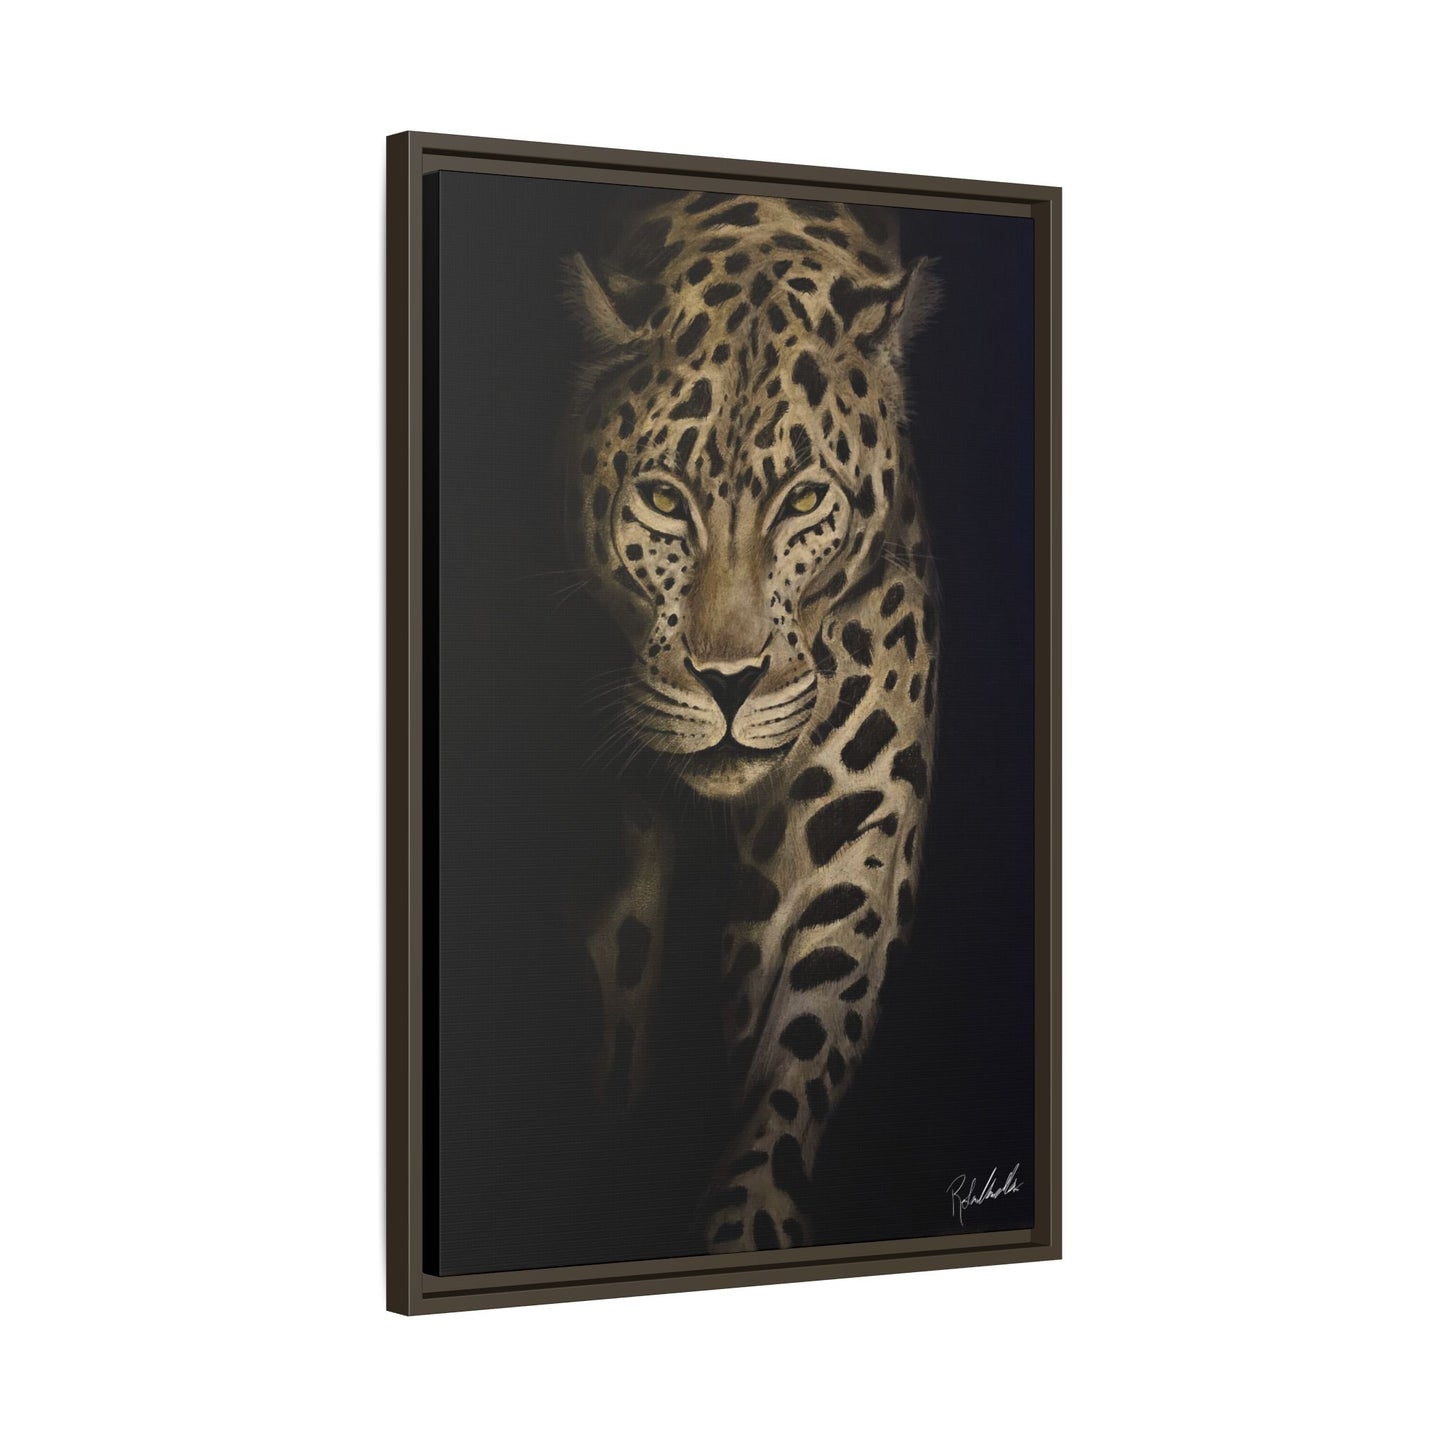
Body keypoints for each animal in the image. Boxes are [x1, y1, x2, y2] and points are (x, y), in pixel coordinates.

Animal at [562, 190, 940, 1254]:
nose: (726, 682)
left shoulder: (845, 829)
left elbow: (800, 1037)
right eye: (661, 498)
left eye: (805, 498)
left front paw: (747, 1222)